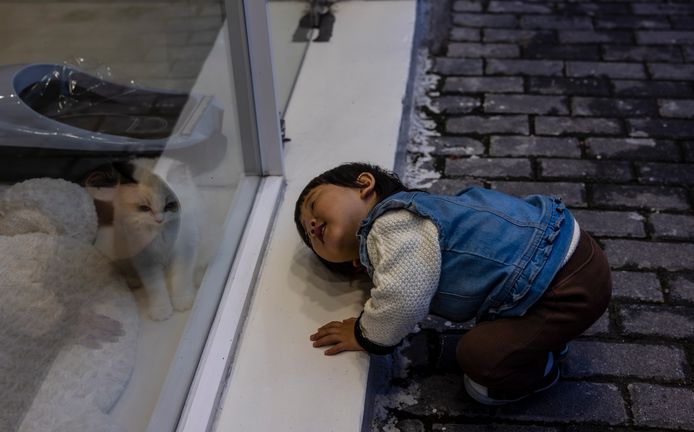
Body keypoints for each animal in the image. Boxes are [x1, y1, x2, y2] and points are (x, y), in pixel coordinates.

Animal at [86, 157, 200, 318]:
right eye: (145, 208)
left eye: (170, 205)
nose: (159, 219)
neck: (161, 234)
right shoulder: (146, 262)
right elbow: (157, 289)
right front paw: (162, 312)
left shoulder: (184, 252)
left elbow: (180, 280)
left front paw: (182, 303)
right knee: (126, 270)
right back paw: (134, 282)